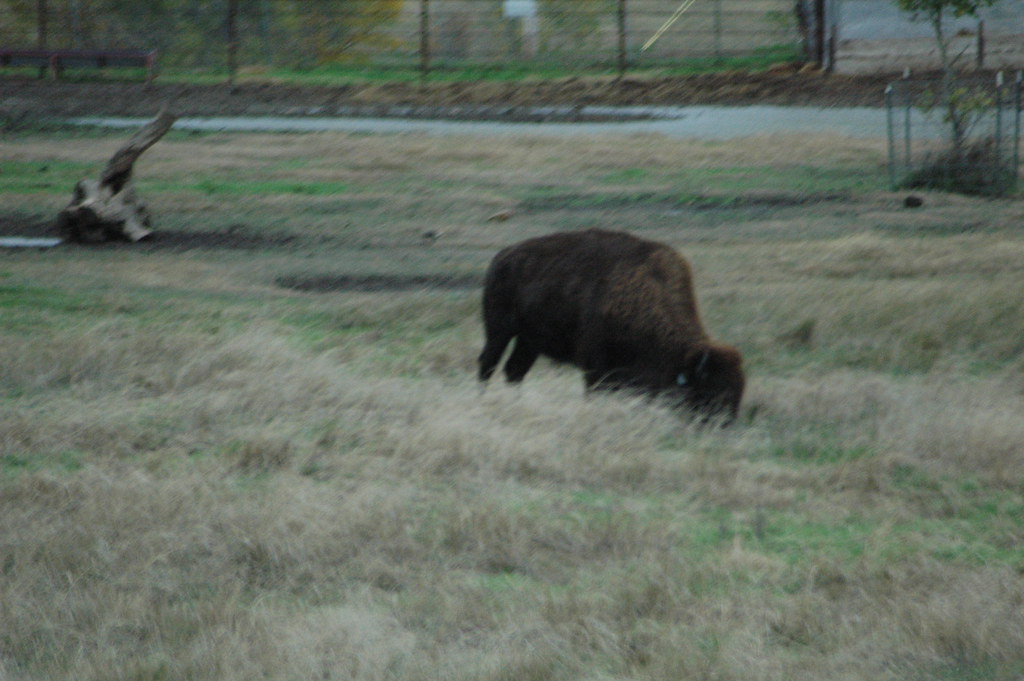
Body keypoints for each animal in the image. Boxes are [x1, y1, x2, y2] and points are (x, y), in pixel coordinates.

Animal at [478, 229, 745, 422]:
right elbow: (593, 391)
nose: (724, 426)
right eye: (709, 392)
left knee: (515, 370)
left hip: (529, 341)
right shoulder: (595, 366)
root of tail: (502, 256)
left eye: (738, 392)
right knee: (488, 364)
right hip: (499, 330)